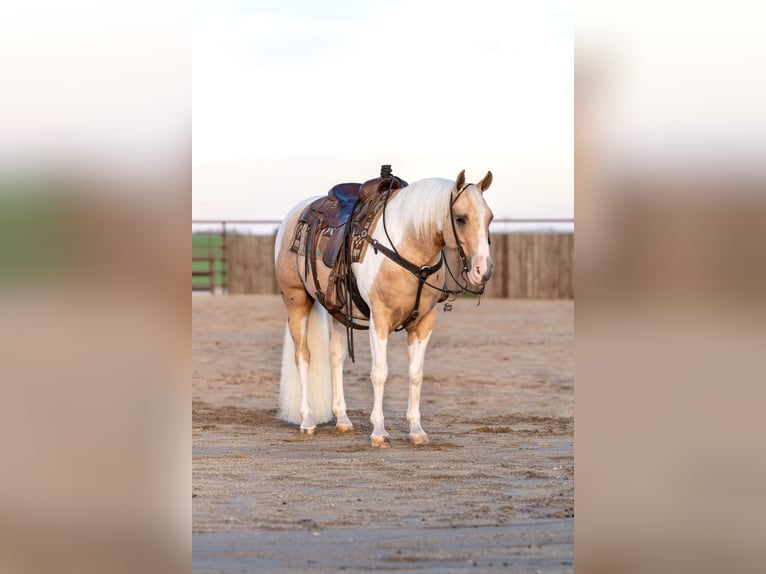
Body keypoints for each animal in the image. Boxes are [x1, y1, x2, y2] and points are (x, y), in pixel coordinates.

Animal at [272, 169, 496, 448]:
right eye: (460, 218)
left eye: (489, 217)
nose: (483, 270)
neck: (410, 249)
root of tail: (296, 213)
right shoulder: (380, 320)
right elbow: (379, 373)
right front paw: (379, 431)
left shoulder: (424, 323)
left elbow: (416, 374)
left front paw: (416, 430)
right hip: (297, 302)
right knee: (303, 356)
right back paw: (308, 421)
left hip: (337, 310)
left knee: (335, 357)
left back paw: (342, 419)